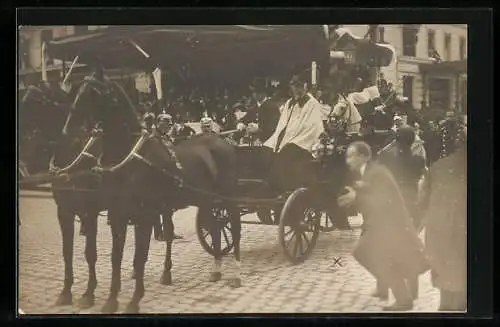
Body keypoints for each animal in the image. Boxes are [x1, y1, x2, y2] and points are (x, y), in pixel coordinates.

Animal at [19, 82, 103, 310]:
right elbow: (67, 252)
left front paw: (89, 293)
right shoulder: (64, 213)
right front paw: (66, 292)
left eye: (29, 104)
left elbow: (90, 253)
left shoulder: (90, 213)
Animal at [61, 74, 241, 316]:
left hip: (228, 196)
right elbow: (116, 258)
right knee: (214, 227)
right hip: (206, 200)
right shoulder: (117, 216)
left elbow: (139, 258)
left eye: (93, 93)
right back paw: (217, 268)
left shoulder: (144, 216)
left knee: (235, 228)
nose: (68, 130)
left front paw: (134, 300)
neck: (132, 159)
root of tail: (221, 141)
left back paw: (236, 273)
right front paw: (111, 300)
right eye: (76, 91)